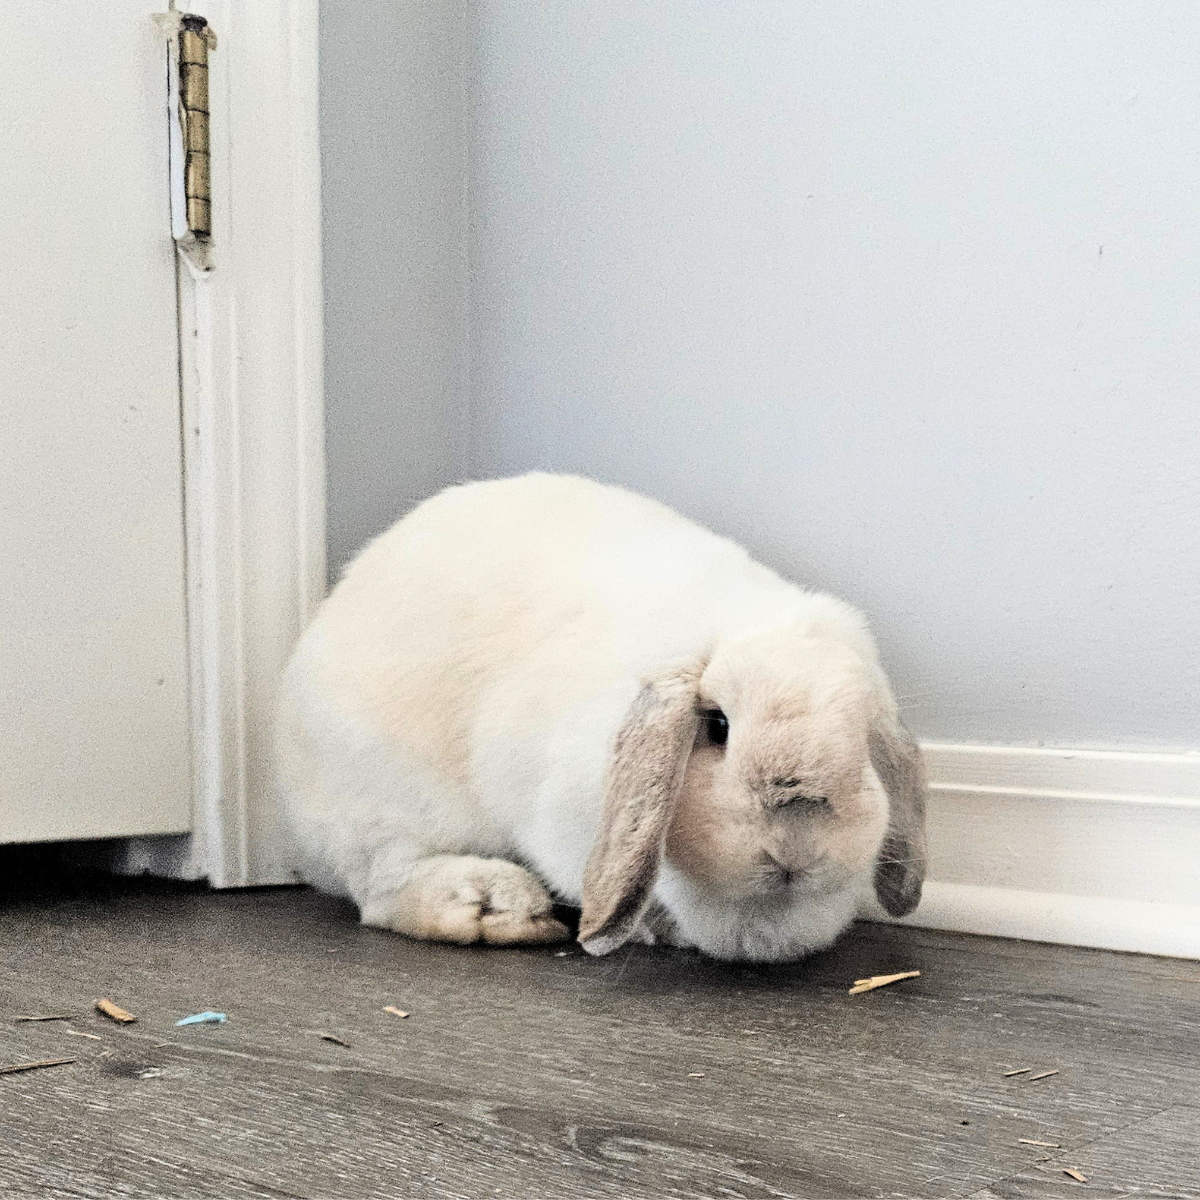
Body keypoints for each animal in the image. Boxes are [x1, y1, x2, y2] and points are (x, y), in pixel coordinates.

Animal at [275, 472, 926, 962]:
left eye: (859, 744)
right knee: (380, 883)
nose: (796, 847)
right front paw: (653, 930)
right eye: (717, 726)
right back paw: (497, 907)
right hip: (389, 798)